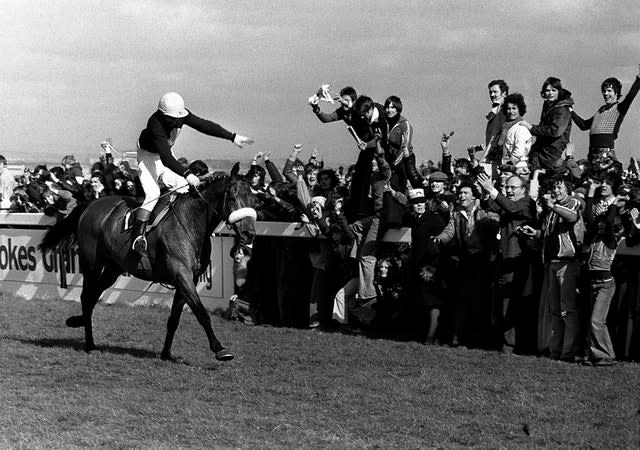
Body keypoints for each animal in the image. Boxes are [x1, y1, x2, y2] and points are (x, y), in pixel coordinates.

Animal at [38, 162, 255, 362]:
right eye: (233, 197)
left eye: (253, 198)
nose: (249, 234)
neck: (190, 221)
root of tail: (91, 204)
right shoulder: (181, 275)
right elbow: (201, 312)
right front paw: (220, 349)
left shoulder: (187, 279)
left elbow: (174, 318)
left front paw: (166, 354)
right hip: (92, 263)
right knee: (86, 297)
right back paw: (89, 342)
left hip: (113, 269)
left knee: (92, 297)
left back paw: (81, 325)